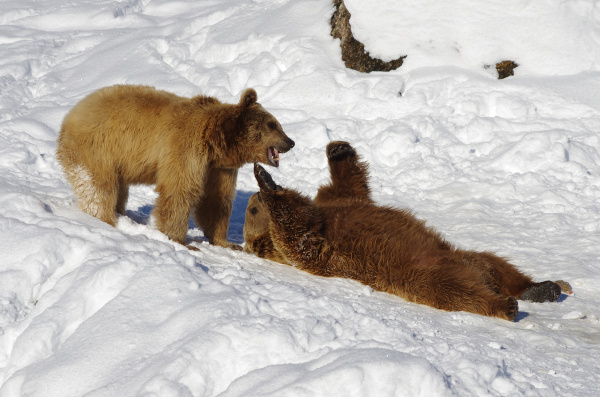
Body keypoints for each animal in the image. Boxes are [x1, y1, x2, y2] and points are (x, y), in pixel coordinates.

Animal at [55, 85, 294, 249]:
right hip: (99, 149)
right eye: (272, 124)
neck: (216, 141)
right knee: (99, 187)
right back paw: (105, 219)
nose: (290, 142)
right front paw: (181, 240)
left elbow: (216, 199)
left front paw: (224, 241)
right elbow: (179, 191)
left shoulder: (218, 168)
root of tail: (69, 116)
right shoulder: (185, 148)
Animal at [244, 141, 564, 320]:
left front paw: (338, 149)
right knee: (462, 293)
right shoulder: (318, 245)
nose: (254, 197)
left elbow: (349, 188)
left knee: (501, 265)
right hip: (424, 276)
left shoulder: (335, 206)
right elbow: (297, 235)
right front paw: (265, 178)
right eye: (252, 211)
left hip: (468, 256)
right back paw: (506, 305)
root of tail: (481, 275)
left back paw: (543, 287)